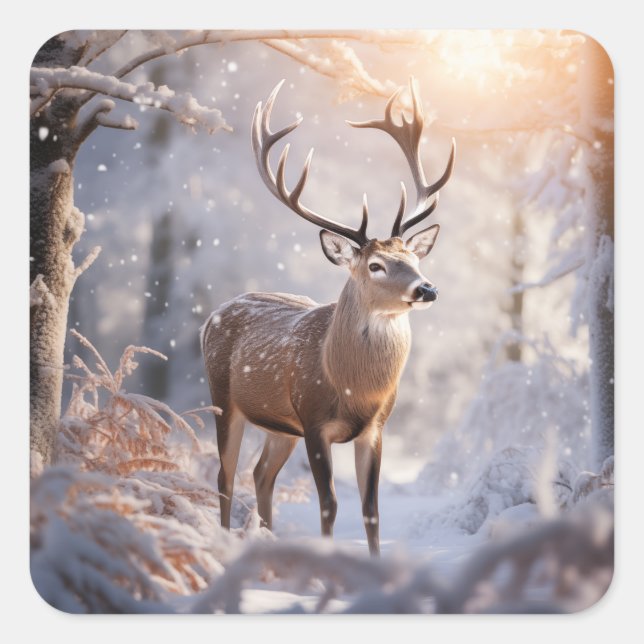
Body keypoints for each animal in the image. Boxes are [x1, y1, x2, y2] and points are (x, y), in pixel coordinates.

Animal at [201, 78, 454, 555]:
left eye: (413, 256)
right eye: (375, 265)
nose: (426, 289)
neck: (354, 389)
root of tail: (212, 315)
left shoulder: (376, 427)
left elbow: (371, 510)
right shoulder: (315, 419)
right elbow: (329, 505)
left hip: (281, 426)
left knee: (260, 474)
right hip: (224, 399)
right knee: (225, 477)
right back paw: (225, 544)